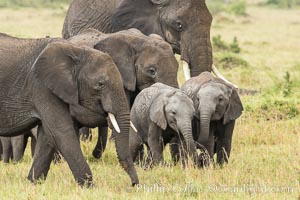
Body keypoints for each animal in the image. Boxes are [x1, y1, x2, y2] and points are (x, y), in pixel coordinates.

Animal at [0, 32, 138, 186]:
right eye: (100, 84)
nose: (134, 184)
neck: (77, 51)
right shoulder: (42, 86)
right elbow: (61, 131)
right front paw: (89, 186)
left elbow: (47, 135)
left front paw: (34, 183)